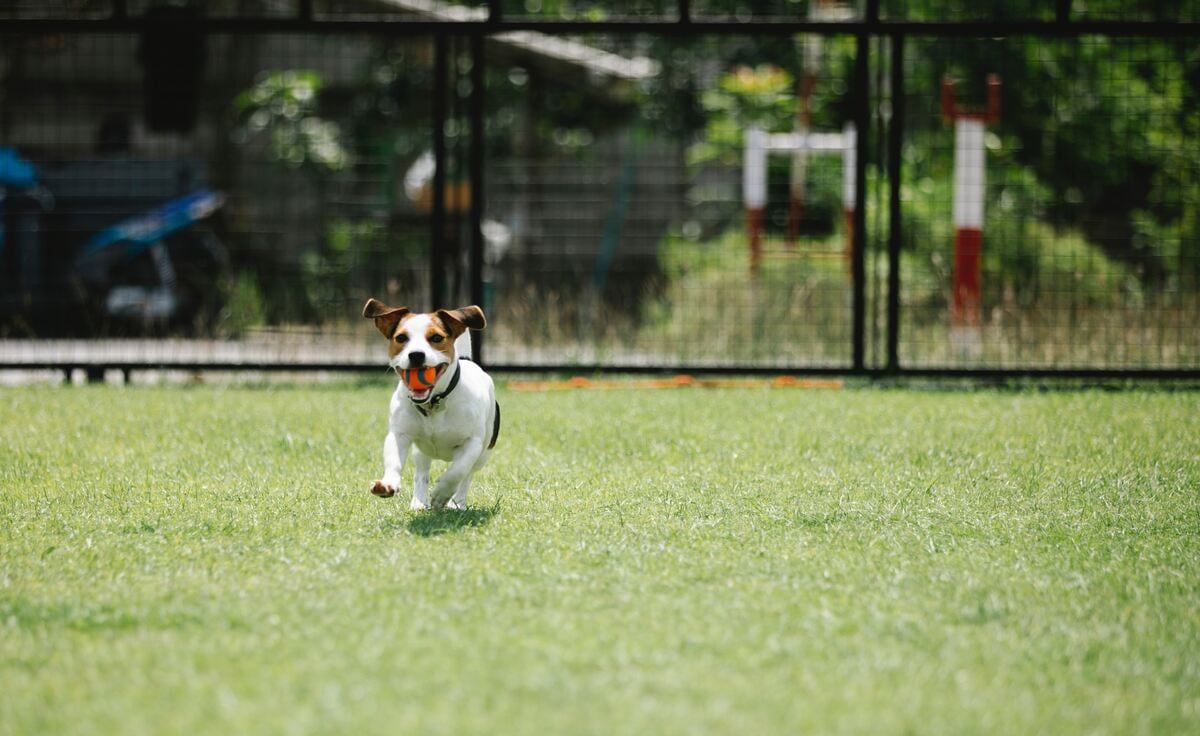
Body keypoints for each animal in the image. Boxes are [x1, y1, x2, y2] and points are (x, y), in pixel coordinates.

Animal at [362, 295, 499, 509]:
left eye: (436, 338)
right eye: (401, 338)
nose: (416, 355)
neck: (433, 403)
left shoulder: (472, 443)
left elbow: (458, 471)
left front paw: (442, 494)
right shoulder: (399, 434)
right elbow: (394, 461)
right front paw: (388, 483)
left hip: (484, 452)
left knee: (467, 476)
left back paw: (457, 503)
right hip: (421, 450)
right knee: (422, 472)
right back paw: (419, 501)